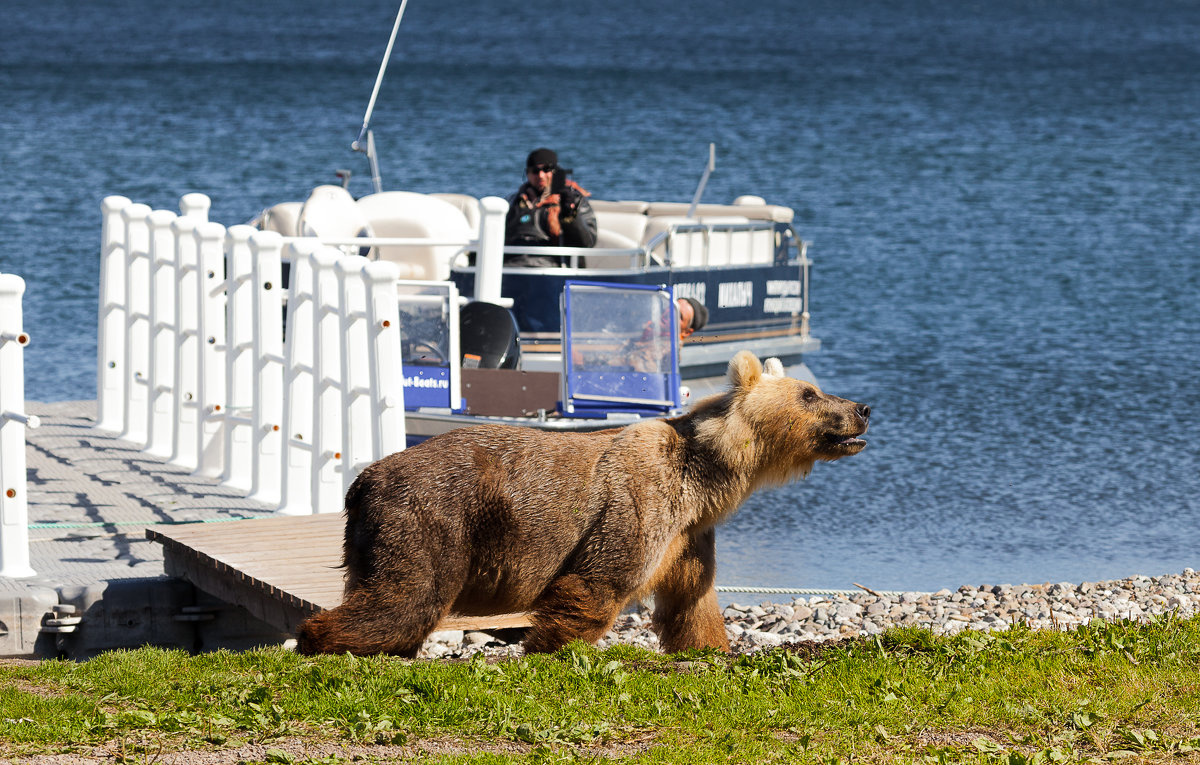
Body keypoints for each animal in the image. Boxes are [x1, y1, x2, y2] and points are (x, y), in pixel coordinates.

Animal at [295, 350, 868, 657]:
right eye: (810, 394)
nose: (862, 407)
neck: (706, 478)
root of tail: (362, 480)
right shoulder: (641, 503)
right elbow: (599, 582)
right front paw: (548, 647)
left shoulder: (688, 535)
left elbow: (692, 598)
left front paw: (713, 648)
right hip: (429, 518)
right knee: (407, 596)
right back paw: (320, 638)